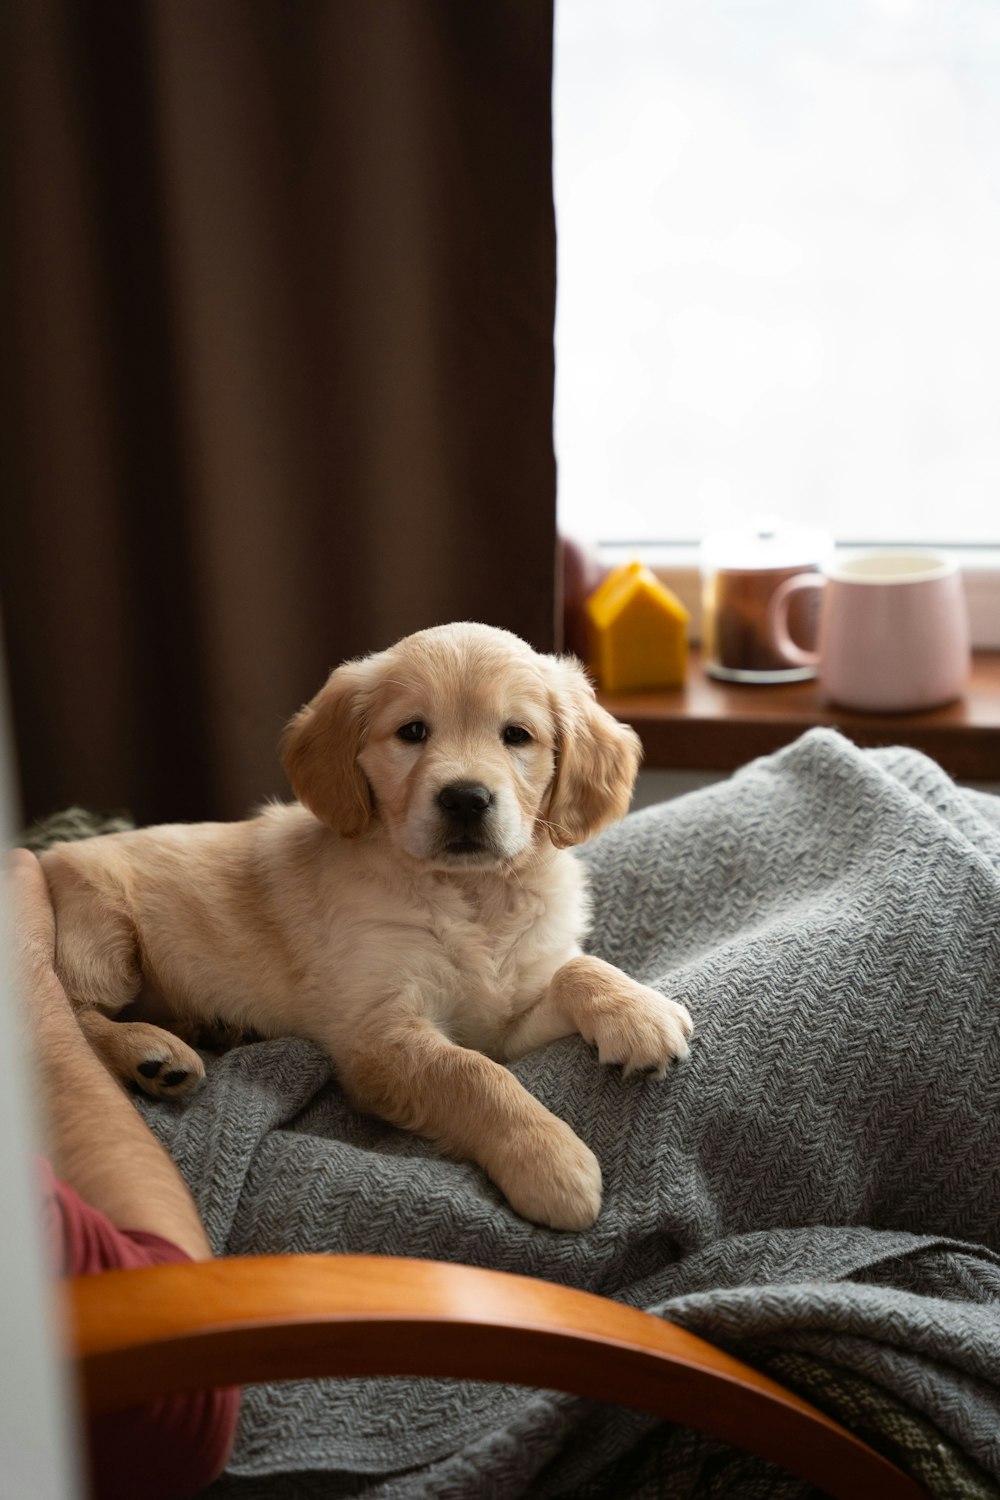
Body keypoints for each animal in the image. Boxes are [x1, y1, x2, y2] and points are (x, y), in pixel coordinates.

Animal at [41, 621, 695, 1230]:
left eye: (517, 735)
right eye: (412, 732)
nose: (465, 799)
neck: (473, 896)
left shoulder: (503, 1021)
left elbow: (574, 971)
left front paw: (636, 1012)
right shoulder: (377, 1034)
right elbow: (471, 1073)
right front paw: (550, 1160)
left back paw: (208, 1028)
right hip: (103, 931)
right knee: (69, 1014)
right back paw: (149, 1052)